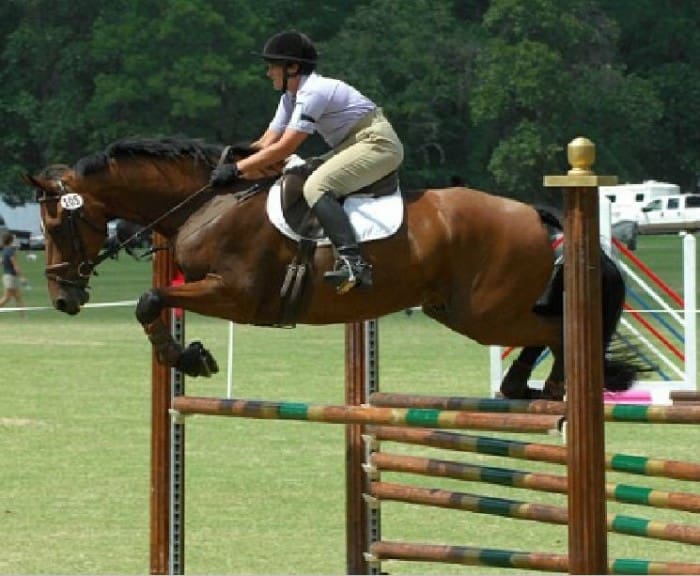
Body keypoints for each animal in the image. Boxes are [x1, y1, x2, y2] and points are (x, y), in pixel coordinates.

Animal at [26, 135, 640, 398]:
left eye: (56, 225)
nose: (62, 299)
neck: (209, 201)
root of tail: (535, 213)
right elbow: (154, 305)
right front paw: (188, 354)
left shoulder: (236, 293)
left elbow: (149, 300)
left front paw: (189, 357)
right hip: (461, 310)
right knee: (544, 335)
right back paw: (524, 387)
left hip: (485, 311)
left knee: (558, 330)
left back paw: (557, 387)